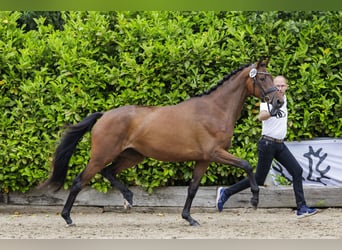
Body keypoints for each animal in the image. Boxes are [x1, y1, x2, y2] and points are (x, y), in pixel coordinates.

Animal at [42, 58, 284, 227]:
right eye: (263, 78)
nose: (279, 101)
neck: (215, 110)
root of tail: (104, 115)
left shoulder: (203, 159)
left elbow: (193, 188)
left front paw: (189, 218)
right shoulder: (216, 153)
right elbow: (247, 165)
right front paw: (254, 199)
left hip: (132, 155)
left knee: (108, 172)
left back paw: (129, 199)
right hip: (102, 156)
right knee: (79, 181)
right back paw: (67, 218)